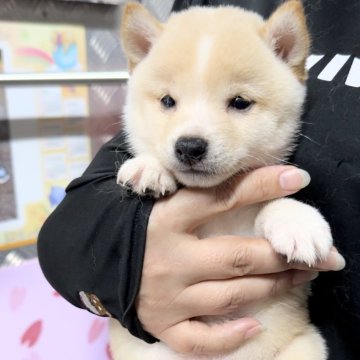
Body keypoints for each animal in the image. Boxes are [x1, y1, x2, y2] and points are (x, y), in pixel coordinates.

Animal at [112, 0, 332, 360]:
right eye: (168, 101)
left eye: (240, 102)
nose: (189, 146)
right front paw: (150, 166)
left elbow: (273, 203)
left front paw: (297, 222)